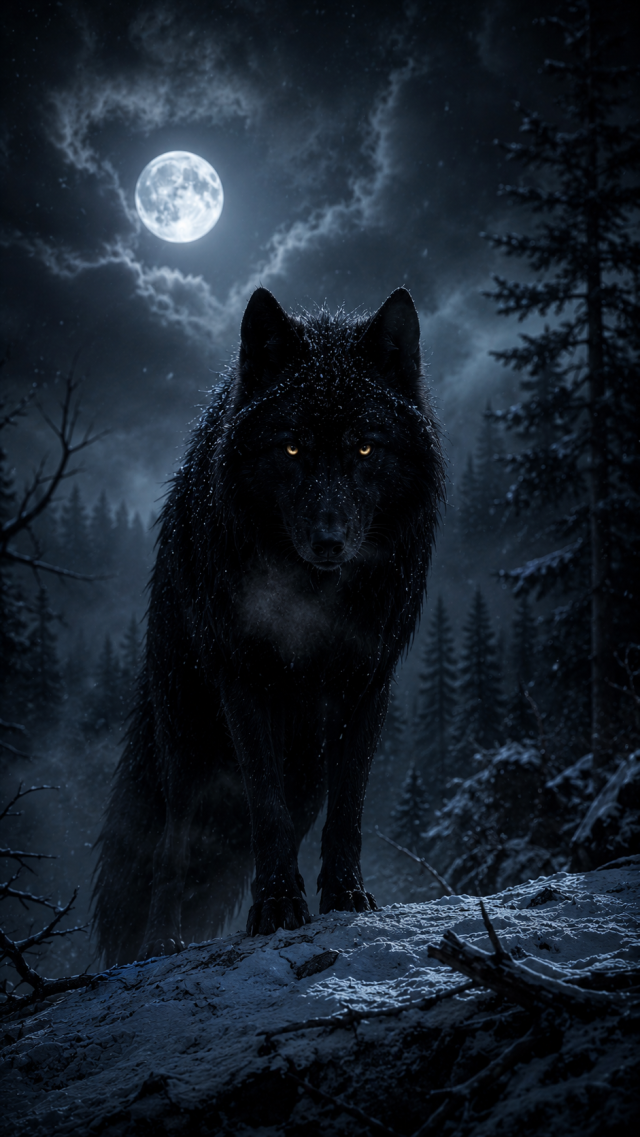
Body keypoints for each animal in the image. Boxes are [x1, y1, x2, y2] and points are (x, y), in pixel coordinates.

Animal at [93, 286, 444, 964]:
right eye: (292, 447)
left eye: (365, 447)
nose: (329, 542)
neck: (313, 595)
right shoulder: (245, 680)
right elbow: (265, 808)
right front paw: (278, 906)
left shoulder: (367, 685)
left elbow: (349, 808)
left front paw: (345, 895)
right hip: (188, 738)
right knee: (174, 843)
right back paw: (162, 941)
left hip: (305, 765)